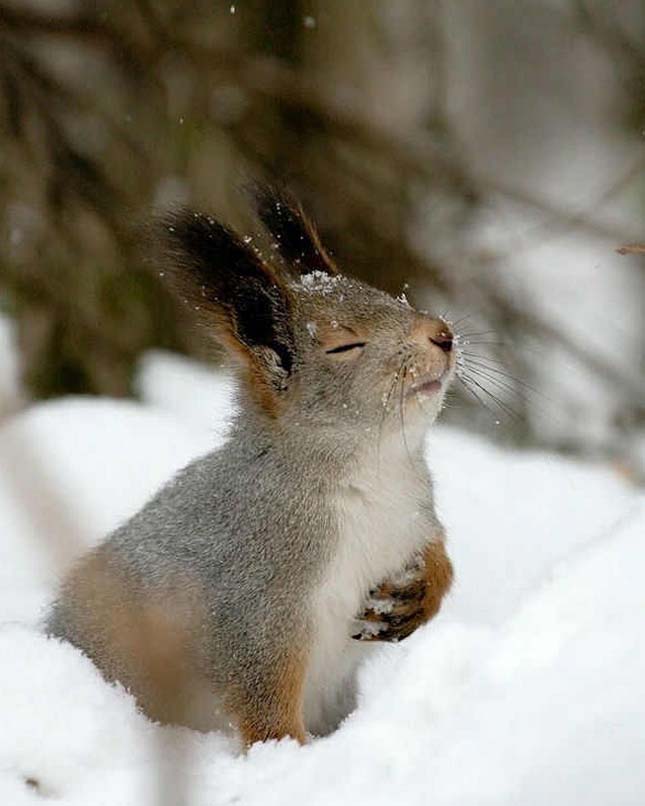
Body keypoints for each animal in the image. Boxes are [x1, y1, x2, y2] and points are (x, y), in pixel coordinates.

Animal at [45, 186, 456, 748]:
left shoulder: (414, 517)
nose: (443, 333)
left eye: (392, 297)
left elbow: (439, 555)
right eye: (344, 345)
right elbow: (263, 698)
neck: (374, 474)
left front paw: (422, 591)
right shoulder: (257, 598)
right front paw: (288, 754)